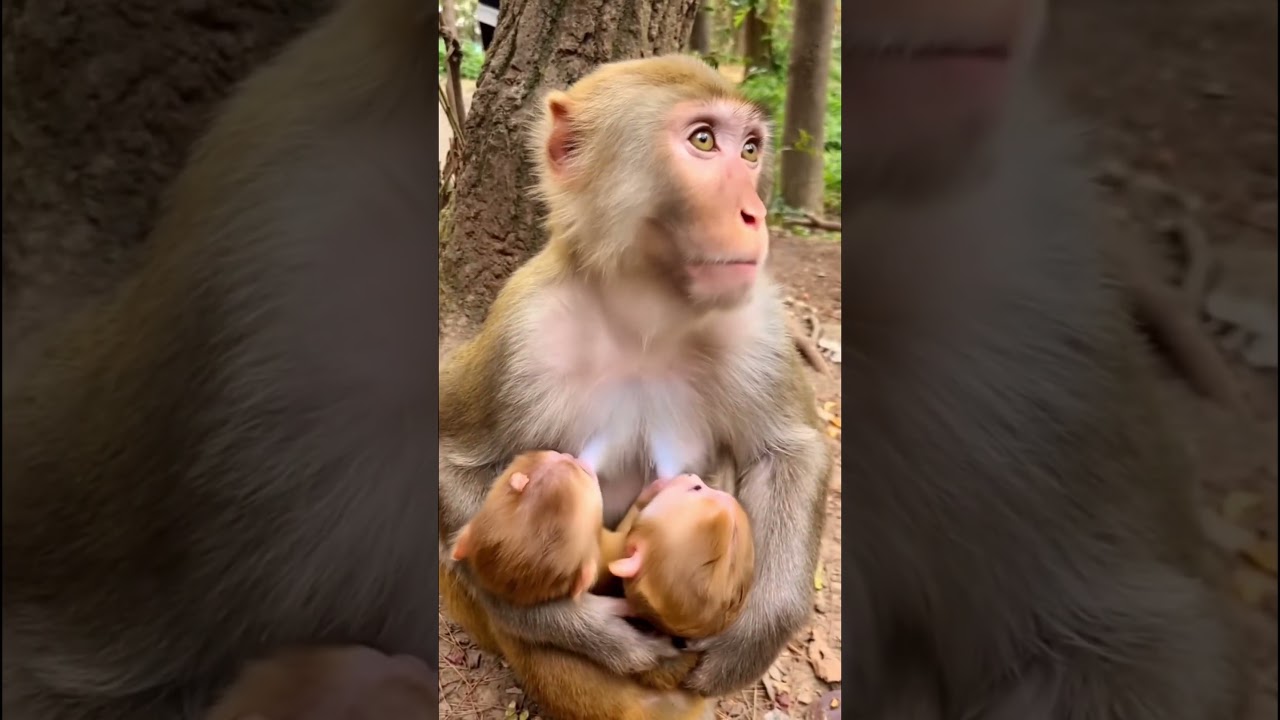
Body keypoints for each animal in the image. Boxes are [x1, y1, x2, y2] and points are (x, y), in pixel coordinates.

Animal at [438, 54, 834, 720]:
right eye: (703, 141)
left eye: (751, 150)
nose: (755, 214)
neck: (645, 316)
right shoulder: (520, 331)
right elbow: (450, 466)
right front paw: (568, 621)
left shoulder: (756, 322)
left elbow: (790, 449)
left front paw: (756, 634)